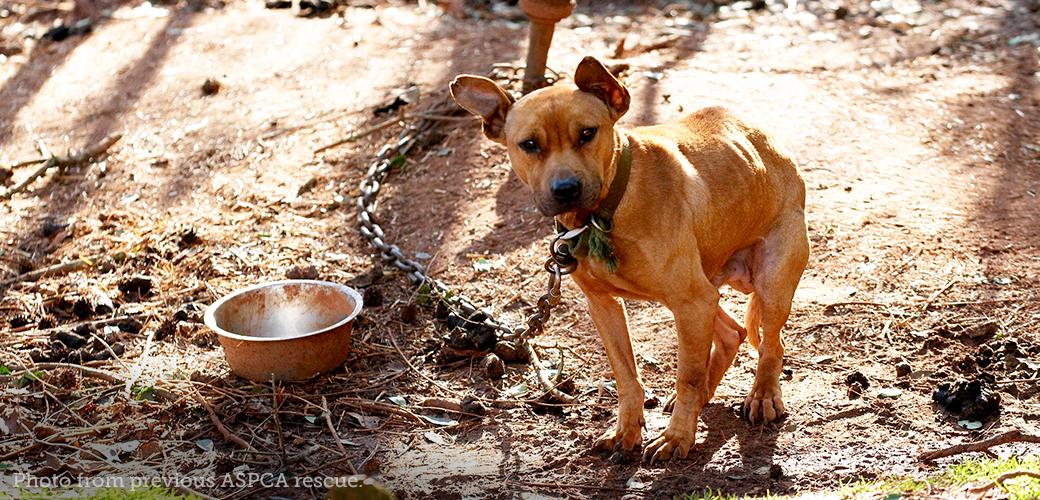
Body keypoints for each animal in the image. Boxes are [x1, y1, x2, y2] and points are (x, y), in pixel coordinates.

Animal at [451, 57, 807, 459]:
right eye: (529, 144)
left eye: (587, 134)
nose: (566, 189)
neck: (603, 214)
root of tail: (770, 142)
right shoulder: (606, 305)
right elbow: (626, 375)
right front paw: (626, 431)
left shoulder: (691, 302)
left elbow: (687, 377)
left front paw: (677, 437)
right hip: (705, 289)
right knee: (733, 333)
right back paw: (708, 394)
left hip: (767, 284)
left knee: (771, 343)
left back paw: (763, 396)